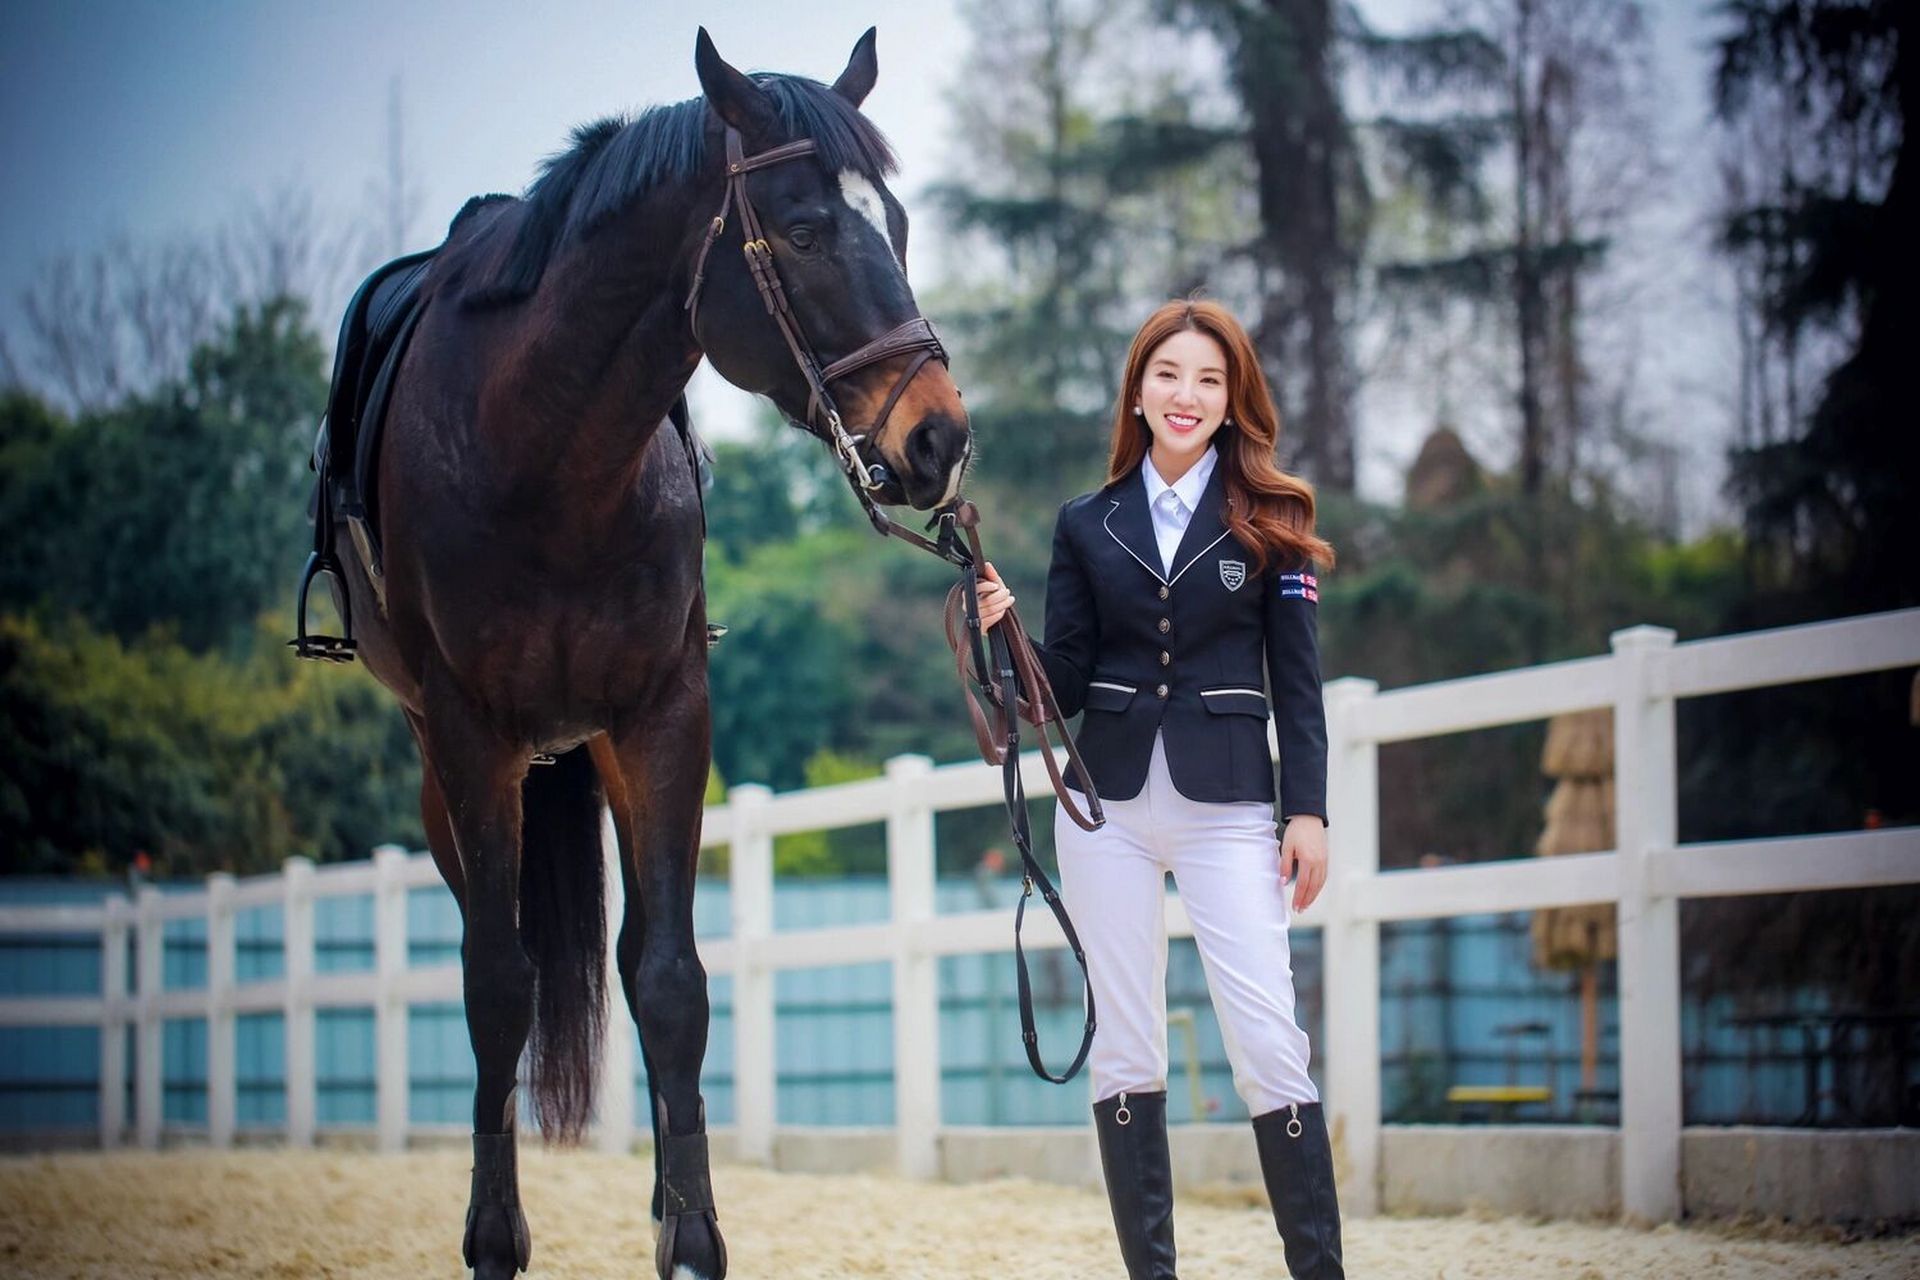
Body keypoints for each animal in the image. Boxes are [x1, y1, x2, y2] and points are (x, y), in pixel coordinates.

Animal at [311, 28, 969, 1279]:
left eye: (900, 225)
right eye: (804, 228)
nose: (939, 437)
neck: (544, 451)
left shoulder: (663, 717)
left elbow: (668, 980)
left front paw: (695, 1235)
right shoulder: (472, 735)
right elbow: (497, 983)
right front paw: (493, 1238)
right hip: (450, 773)